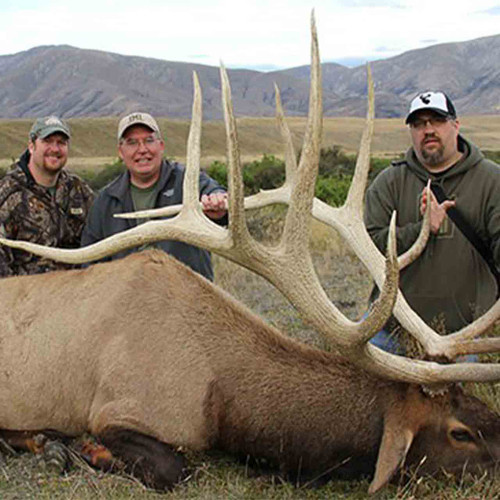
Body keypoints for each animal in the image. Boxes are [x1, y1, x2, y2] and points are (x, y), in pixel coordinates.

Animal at [0, 13, 500, 494]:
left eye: (475, 405)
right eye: (460, 432)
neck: (224, 401)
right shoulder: (117, 410)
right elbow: (171, 467)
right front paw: (80, 447)